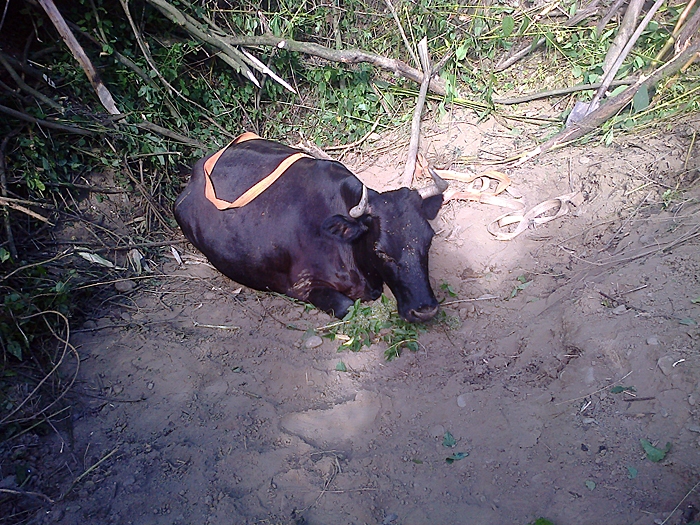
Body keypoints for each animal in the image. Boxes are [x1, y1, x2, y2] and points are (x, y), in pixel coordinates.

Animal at [175, 137, 448, 322]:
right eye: (380, 251)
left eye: (428, 241)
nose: (425, 310)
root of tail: (196, 171)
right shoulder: (302, 286)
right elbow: (347, 307)